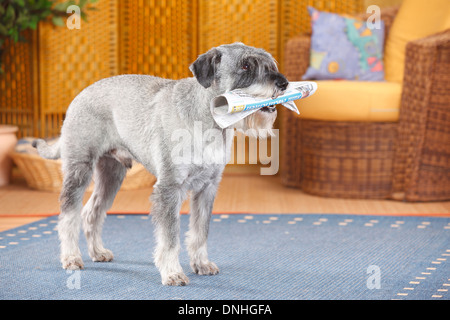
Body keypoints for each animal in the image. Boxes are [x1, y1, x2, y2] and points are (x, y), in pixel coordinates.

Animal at [34, 42, 288, 284]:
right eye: (246, 66)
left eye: (270, 64)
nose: (283, 83)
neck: (207, 120)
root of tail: (79, 95)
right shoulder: (169, 190)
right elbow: (170, 238)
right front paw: (173, 273)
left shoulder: (207, 188)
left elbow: (200, 232)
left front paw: (202, 264)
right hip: (79, 170)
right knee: (68, 216)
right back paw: (71, 257)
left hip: (111, 176)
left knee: (91, 213)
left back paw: (98, 252)